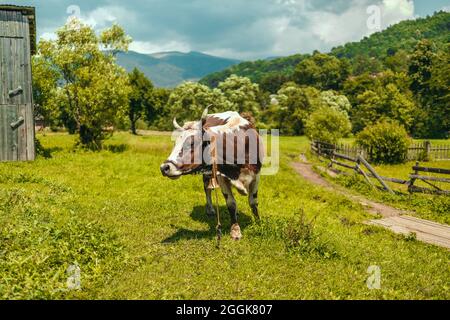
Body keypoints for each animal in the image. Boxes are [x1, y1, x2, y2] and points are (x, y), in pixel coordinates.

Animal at [160, 109, 264, 239]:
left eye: (192, 143)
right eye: (175, 144)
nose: (164, 168)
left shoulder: (256, 175)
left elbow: (253, 202)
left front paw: (258, 223)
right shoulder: (221, 177)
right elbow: (231, 203)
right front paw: (235, 230)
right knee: (207, 188)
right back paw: (210, 209)